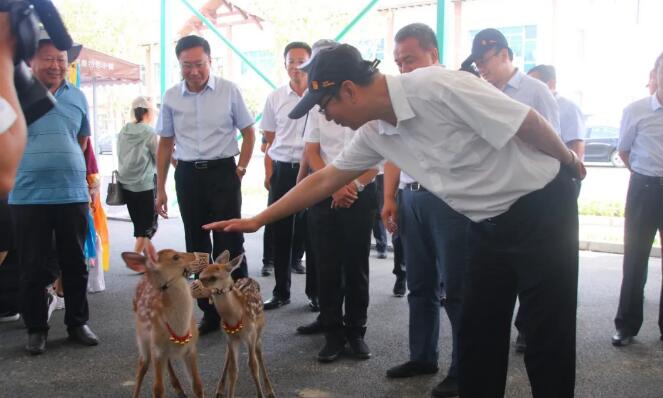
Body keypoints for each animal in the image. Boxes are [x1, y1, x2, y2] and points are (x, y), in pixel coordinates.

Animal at [122, 249, 208, 398]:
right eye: (175, 257)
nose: (199, 255)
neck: (180, 329)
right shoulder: (156, 349)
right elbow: (158, 389)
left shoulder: (191, 349)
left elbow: (198, 385)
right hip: (143, 338)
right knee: (142, 365)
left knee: (165, 361)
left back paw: (179, 390)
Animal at [192, 252, 274, 398]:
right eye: (200, 274)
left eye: (213, 277)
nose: (194, 286)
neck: (235, 318)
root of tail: (249, 278)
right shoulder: (230, 338)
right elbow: (233, 370)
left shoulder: (251, 335)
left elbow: (253, 365)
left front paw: (261, 394)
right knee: (227, 357)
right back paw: (220, 388)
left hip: (259, 330)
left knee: (259, 353)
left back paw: (270, 390)